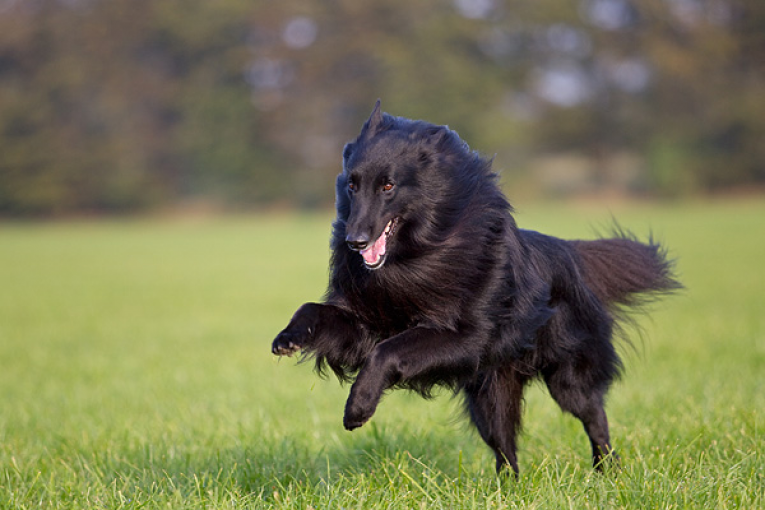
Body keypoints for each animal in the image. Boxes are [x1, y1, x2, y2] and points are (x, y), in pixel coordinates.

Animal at [272, 101, 676, 476]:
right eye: (352, 185)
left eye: (388, 186)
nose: (354, 241)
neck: (414, 257)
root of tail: (566, 252)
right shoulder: (364, 328)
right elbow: (314, 311)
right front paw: (288, 337)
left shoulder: (466, 337)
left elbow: (388, 352)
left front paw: (358, 407)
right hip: (491, 397)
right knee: (505, 449)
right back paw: (508, 489)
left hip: (568, 380)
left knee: (595, 419)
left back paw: (607, 470)